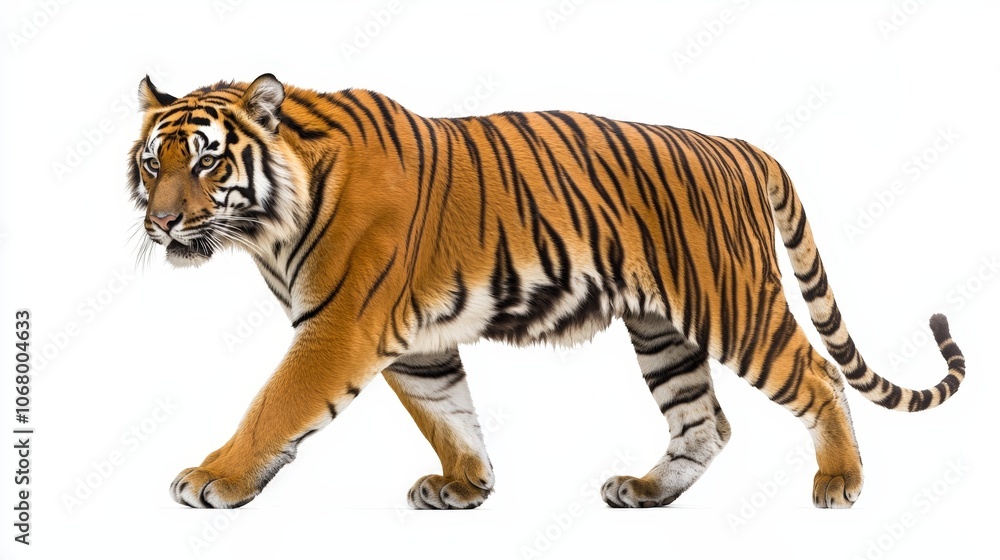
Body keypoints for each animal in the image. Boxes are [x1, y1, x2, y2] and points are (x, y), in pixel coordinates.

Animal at [127, 73, 965, 510]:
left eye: (205, 162)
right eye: (150, 162)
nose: (160, 222)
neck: (266, 227)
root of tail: (738, 146)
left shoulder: (340, 328)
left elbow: (275, 405)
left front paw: (214, 477)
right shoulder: (416, 346)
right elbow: (447, 414)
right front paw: (467, 486)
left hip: (734, 305)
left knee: (819, 376)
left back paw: (840, 482)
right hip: (662, 330)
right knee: (705, 421)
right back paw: (647, 490)